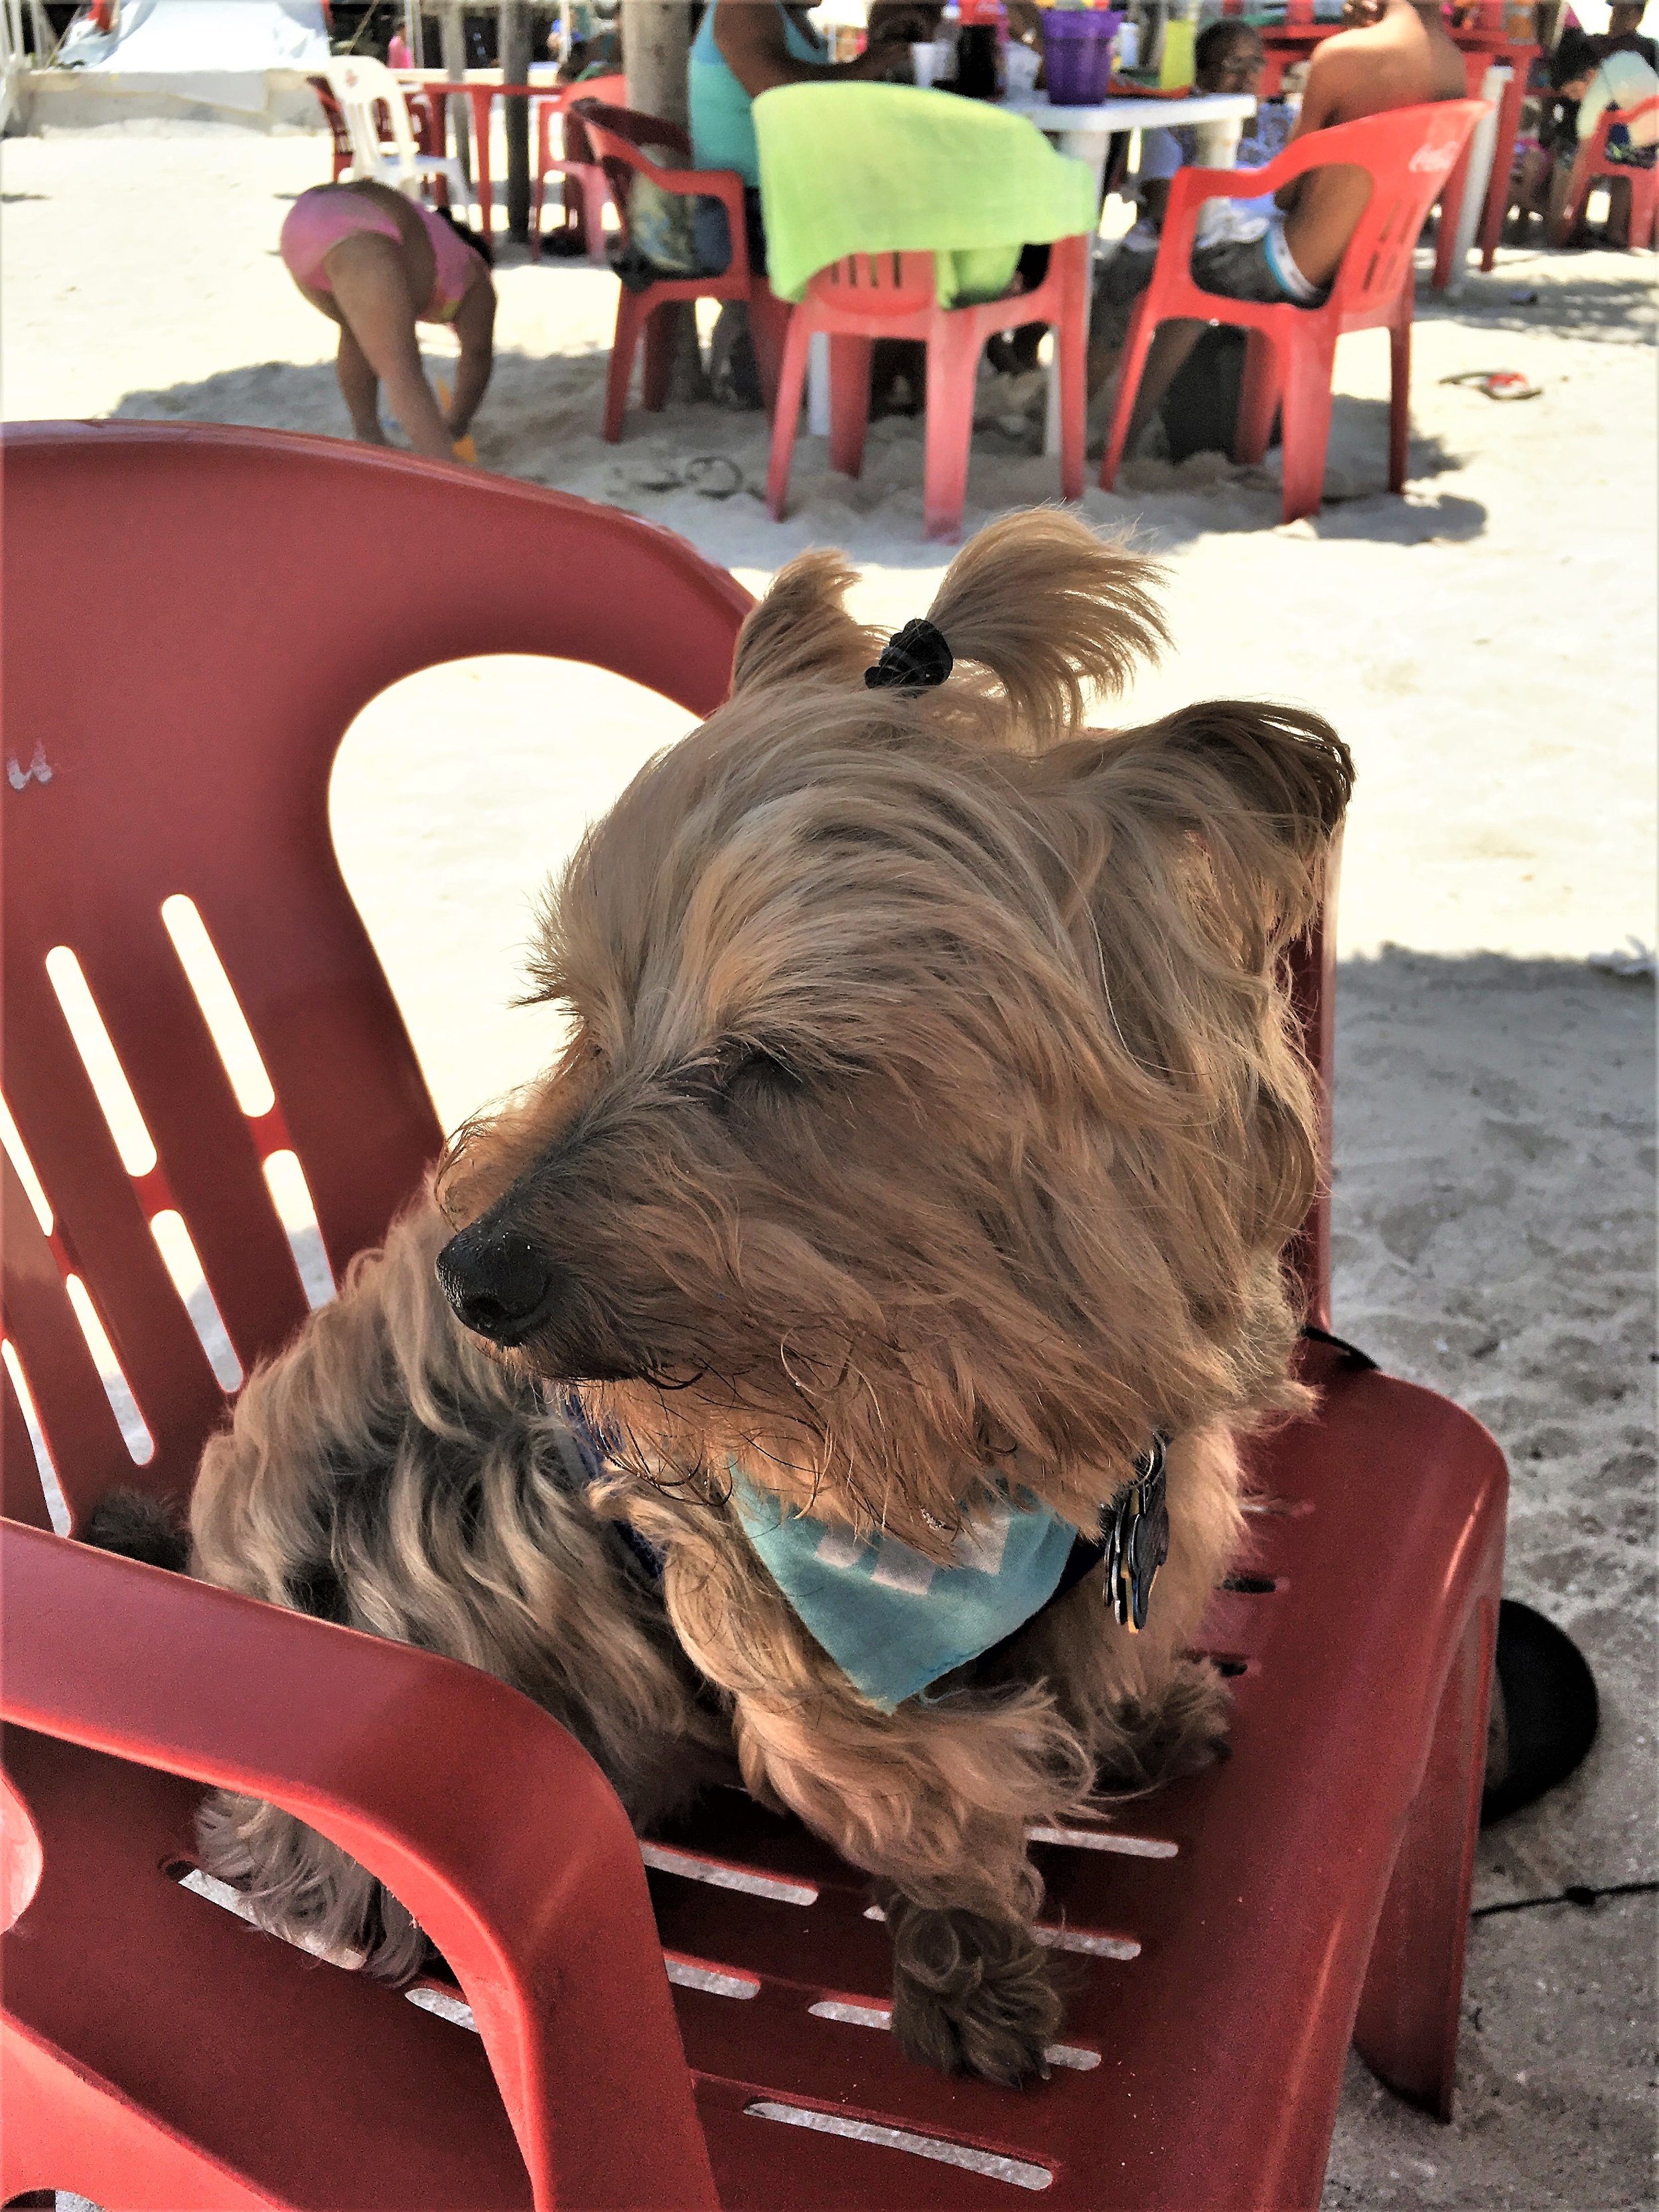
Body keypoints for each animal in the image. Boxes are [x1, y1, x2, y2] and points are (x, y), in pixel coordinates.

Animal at [438, 513, 1354, 2088]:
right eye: (581, 1016)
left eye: (772, 1061)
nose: (469, 1275)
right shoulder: (800, 1651)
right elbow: (923, 1801)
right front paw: (968, 1963)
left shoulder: (1144, 1503)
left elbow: (1104, 1642)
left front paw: (1138, 1716)